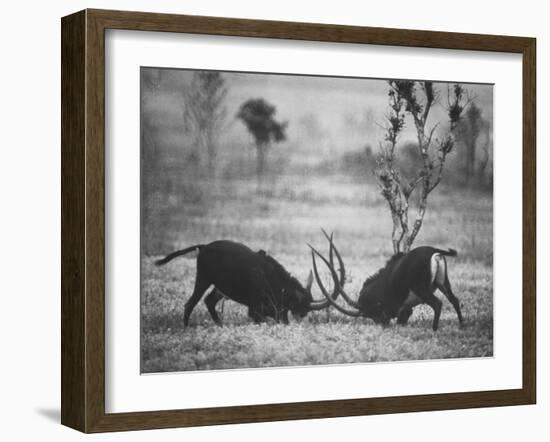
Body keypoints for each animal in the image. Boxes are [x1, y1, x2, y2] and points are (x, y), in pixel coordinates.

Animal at [155, 240, 340, 326]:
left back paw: (221, 327)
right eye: (301, 305)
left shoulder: (275, 312)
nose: (302, 319)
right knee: (190, 303)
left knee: (209, 301)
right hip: (203, 279)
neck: (271, 277)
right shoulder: (255, 311)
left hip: (219, 287)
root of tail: (204, 246)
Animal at [312, 233, 464, 330]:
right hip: (443, 283)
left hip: (422, 289)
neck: (383, 283)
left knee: (437, 304)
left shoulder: (398, 308)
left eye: (371, 312)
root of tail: (434, 251)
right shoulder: (406, 309)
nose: (382, 324)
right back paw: (461, 325)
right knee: (454, 300)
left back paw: (434, 329)